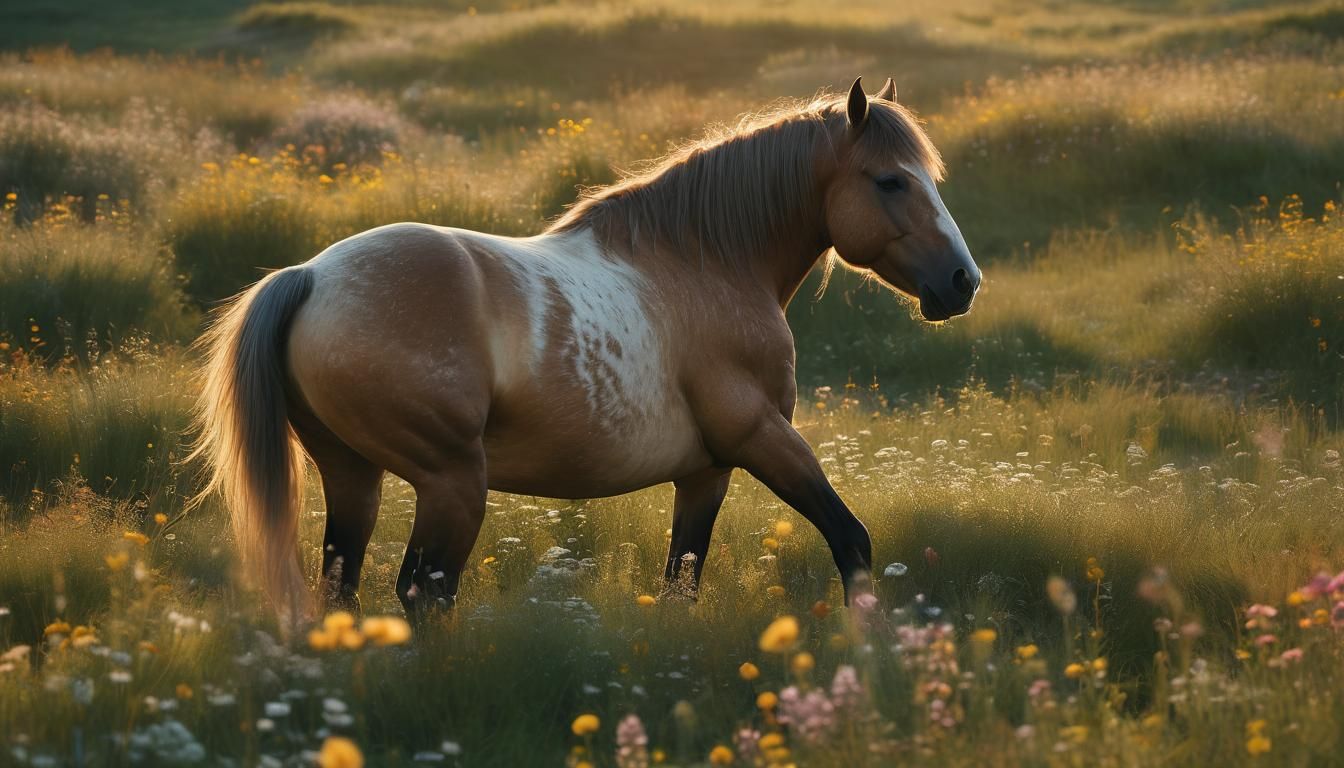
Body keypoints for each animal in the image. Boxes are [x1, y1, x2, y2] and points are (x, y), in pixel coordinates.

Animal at [192, 77, 981, 620]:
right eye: (890, 181)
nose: (962, 281)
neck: (703, 262)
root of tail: (311, 275)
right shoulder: (760, 439)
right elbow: (852, 543)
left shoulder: (705, 473)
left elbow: (681, 580)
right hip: (451, 483)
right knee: (422, 594)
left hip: (354, 475)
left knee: (345, 587)